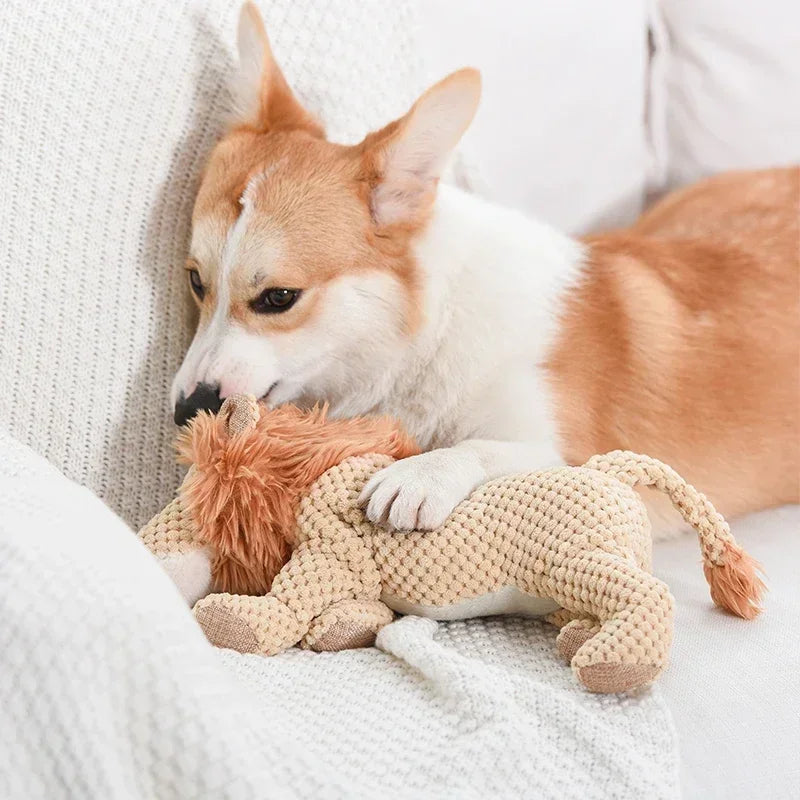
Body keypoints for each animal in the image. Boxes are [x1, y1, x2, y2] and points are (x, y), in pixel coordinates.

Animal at [172, 4, 796, 536]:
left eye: (279, 297)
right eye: (197, 282)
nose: (185, 412)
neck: (430, 332)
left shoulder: (566, 451)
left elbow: (483, 448)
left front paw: (419, 474)